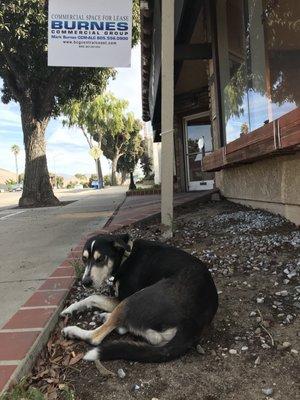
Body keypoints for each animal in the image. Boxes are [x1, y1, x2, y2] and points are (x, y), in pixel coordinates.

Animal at [61, 234, 218, 362]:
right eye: (84, 259)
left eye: (100, 259)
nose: (85, 282)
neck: (126, 256)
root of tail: (194, 323)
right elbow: (91, 298)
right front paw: (70, 309)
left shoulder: (122, 298)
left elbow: (93, 296)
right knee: (152, 337)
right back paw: (107, 318)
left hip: (132, 300)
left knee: (95, 337)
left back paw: (73, 331)